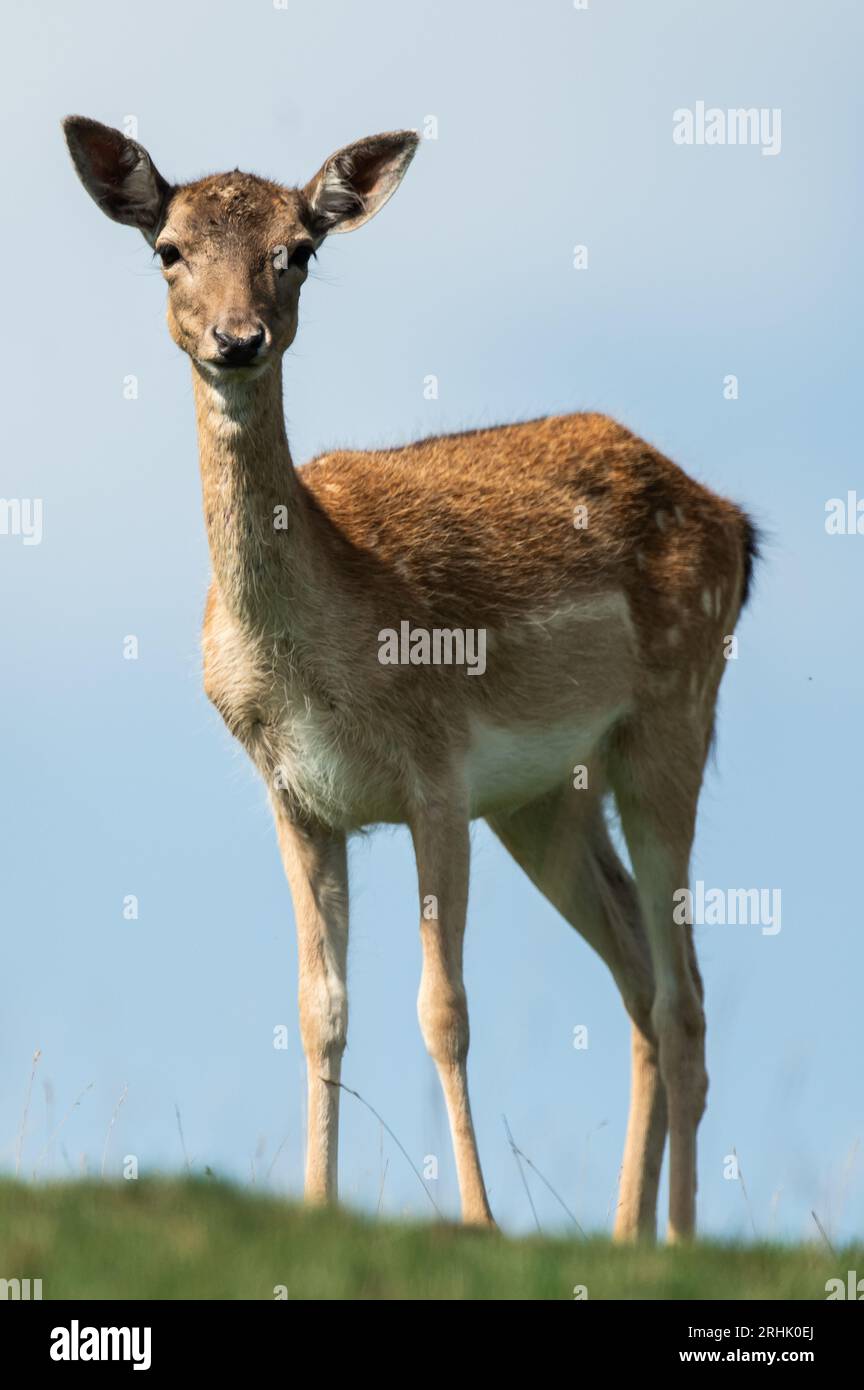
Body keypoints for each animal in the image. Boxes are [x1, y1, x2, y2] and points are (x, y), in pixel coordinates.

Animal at [62, 119, 755, 1245]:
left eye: (298, 249)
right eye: (168, 249)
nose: (237, 339)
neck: (312, 659)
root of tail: (736, 522)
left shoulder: (438, 771)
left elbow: (445, 1008)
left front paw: (477, 1224)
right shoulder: (298, 796)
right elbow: (319, 1008)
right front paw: (315, 1204)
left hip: (674, 715)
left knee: (684, 991)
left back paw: (684, 1241)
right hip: (544, 798)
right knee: (640, 977)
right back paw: (626, 1238)